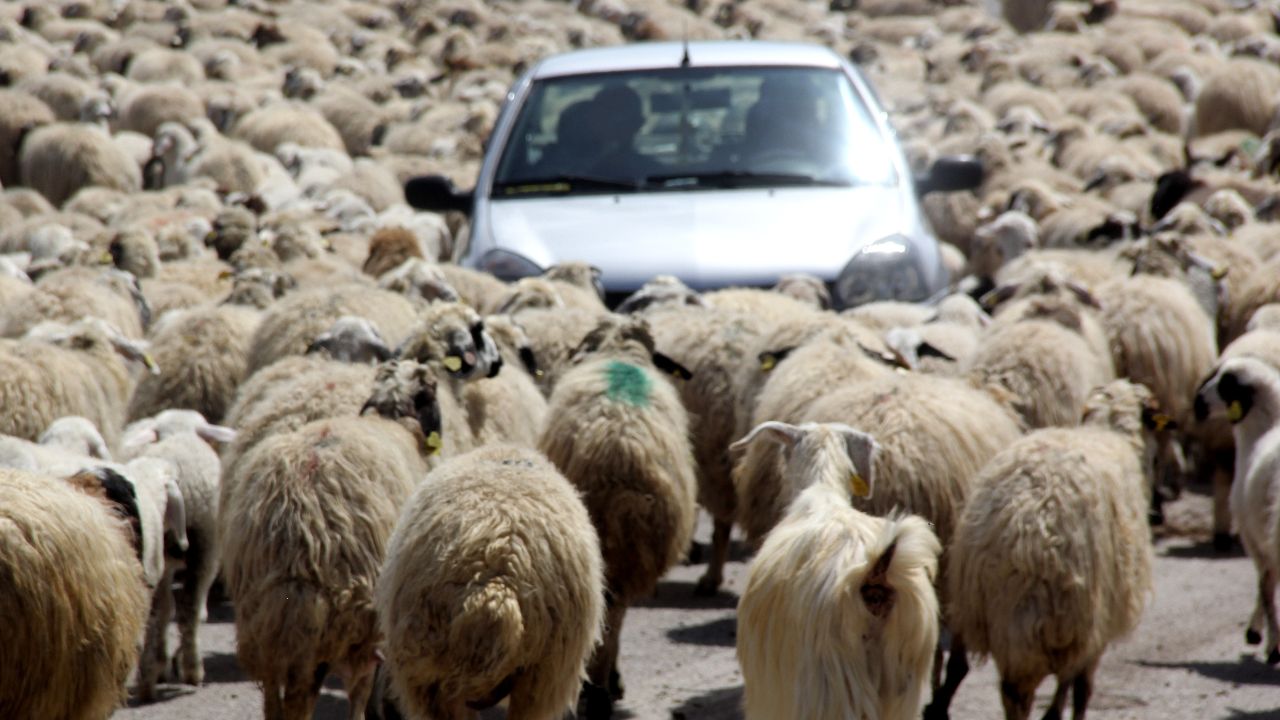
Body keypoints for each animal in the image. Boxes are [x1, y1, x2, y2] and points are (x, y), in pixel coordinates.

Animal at [540, 315, 701, 717]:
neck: (621, 352)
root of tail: (620, 452)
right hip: (632, 550)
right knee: (615, 614)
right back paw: (601, 690)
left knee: (609, 616)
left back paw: (598, 691)